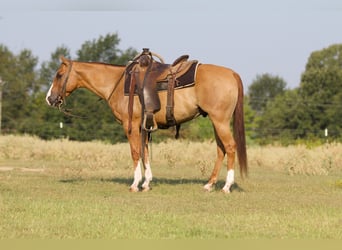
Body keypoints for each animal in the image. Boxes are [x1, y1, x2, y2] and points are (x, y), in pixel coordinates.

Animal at [46, 53, 248, 192]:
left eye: (59, 75)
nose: (49, 98)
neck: (117, 83)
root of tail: (232, 73)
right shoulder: (144, 127)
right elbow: (145, 153)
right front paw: (146, 183)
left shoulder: (131, 126)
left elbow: (135, 153)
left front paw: (135, 184)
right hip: (216, 122)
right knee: (221, 150)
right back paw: (209, 184)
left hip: (220, 121)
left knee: (230, 147)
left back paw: (226, 186)